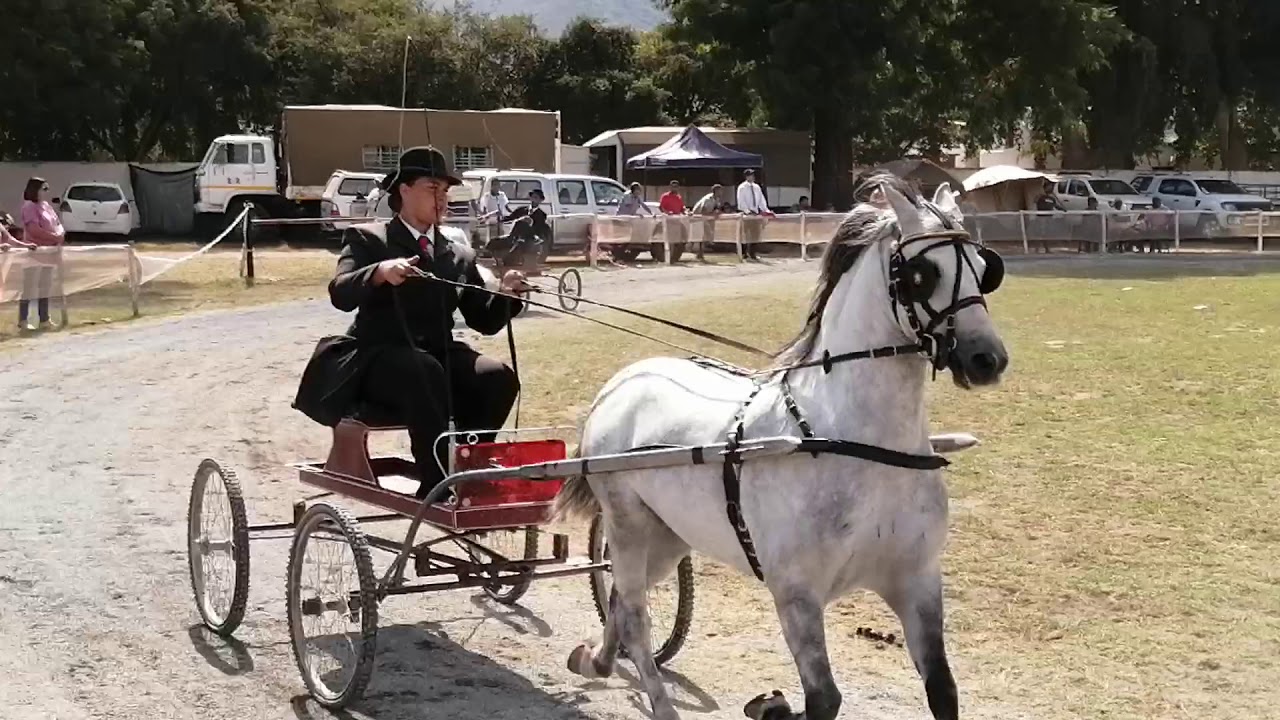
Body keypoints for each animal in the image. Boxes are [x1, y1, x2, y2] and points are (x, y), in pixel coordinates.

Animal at [553, 175, 1009, 720]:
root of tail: (622, 382)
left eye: (985, 269)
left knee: (622, 602)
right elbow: (824, 697)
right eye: (922, 274)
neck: (856, 444)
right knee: (637, 618)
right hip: (627, 526)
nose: (987, 359)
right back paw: (656, 700)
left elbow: (942, 687)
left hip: (667, 537)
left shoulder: (916, 579)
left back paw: (597, 661)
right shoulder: (797, 595)